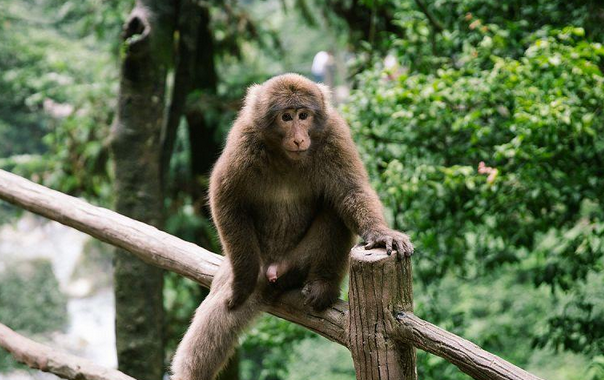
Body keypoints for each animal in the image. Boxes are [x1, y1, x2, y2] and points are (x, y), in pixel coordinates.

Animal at [172, 72, 412, 380]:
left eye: (303, 115)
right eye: (286, 117)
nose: (299, 138)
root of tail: (275, 270)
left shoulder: (334, 133)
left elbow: (351, 191)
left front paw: (383, 235)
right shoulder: (243, 139)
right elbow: (226, 199)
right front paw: (243, 281)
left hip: (298, 262)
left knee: (334, 209)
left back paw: (323, 285)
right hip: (253, 259)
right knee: (215, 315)